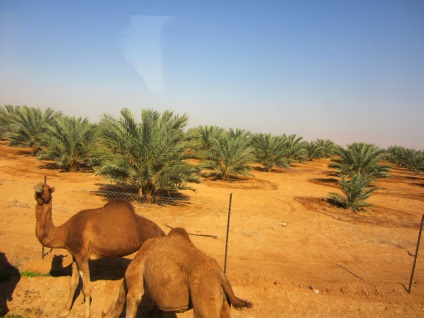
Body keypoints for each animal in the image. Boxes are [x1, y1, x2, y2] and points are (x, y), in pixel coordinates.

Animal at [34, 181, 166, 318]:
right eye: (39, 185)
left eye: (48, 189)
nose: (37, 188)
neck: (65, 233)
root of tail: (161, 232)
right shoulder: (75, 255)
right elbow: (73, 283)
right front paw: (65, 310)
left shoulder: (83, 257)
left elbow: (86, 288)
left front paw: (86, 314)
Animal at [103, 227, 252, 318]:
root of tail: (222, 278)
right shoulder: (159, 300)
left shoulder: (135, 285)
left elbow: (133, 303)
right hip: (224, 303)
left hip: (205, 297)